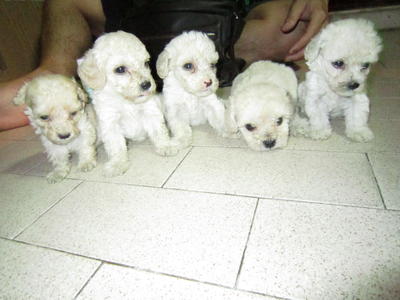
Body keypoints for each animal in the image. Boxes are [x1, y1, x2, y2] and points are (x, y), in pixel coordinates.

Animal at [78, 31, 178, 176]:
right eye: (120, 69)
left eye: (146, 63)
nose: (147, 84)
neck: (126, 101)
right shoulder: (110, 122)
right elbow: (116, 146)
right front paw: (118, 164)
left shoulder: (150, 111)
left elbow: (159, 131)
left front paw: (166, 146)